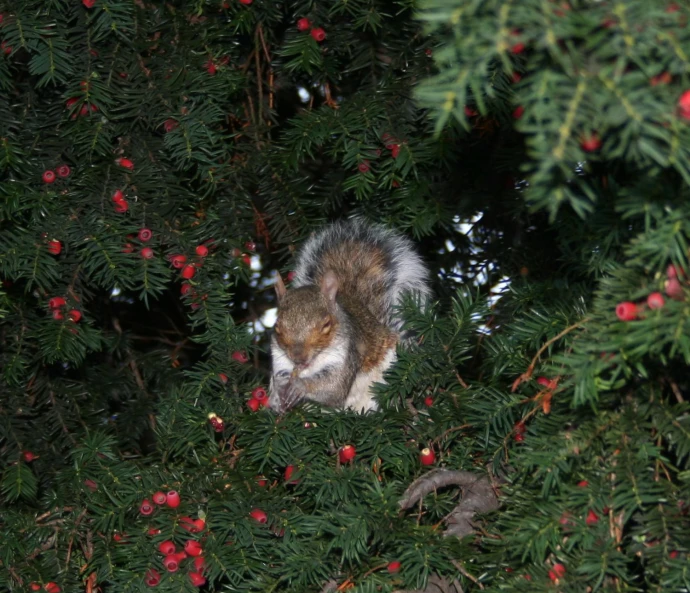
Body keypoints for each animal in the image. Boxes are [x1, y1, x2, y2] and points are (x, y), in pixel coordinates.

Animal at [268, 217, 430, 412]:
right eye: (277, 327)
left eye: (326, 325)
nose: (298, 358)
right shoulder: (280, 362)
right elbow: (280, 379)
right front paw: (279, 397)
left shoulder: (347, 355)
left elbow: (334, 387)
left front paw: (300, 386)